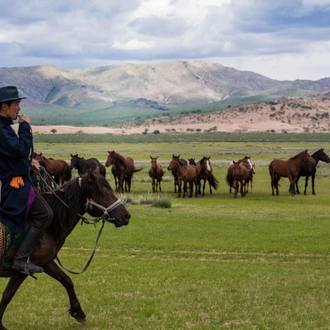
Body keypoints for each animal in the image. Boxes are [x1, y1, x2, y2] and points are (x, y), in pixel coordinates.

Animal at [0, 170, 131, 330]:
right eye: (104, 192)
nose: (126, 216)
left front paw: (78, 312)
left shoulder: (45, 263)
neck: (49, 227)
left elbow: (67, 280)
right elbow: (8, 294)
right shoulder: (22, 270)